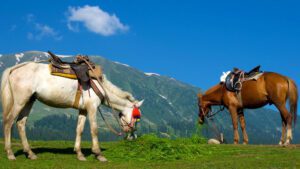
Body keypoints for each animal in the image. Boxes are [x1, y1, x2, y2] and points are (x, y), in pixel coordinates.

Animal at [0, 61, 144, 161]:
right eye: (137, 117)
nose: (132, 136)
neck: (99, 85)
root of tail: (15, 68)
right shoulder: (92, 108)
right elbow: (94, 130)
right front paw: (98, 154)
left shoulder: (83, 110)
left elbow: (79, 129)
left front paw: (79, 154)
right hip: (20, 101)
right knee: (8, 122)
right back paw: (10, 153)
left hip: (29, 101)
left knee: (20, 123)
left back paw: (30, 153)